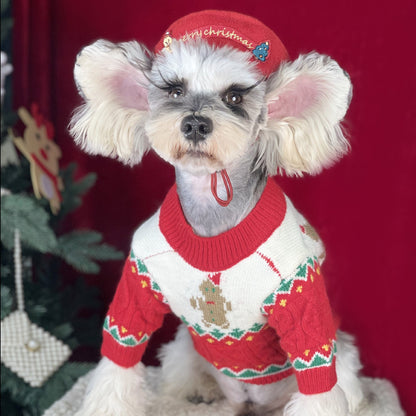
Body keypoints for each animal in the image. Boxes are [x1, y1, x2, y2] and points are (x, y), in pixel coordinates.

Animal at [70, 8, 404, 416]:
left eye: (234, 96)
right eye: (174, 90)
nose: (196, 123)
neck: (213, 219)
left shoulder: (302, 301)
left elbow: (318, 377)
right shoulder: (137, 285)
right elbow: (120, 354)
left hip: (345, 359)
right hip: (185, 348)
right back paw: (196, 393)